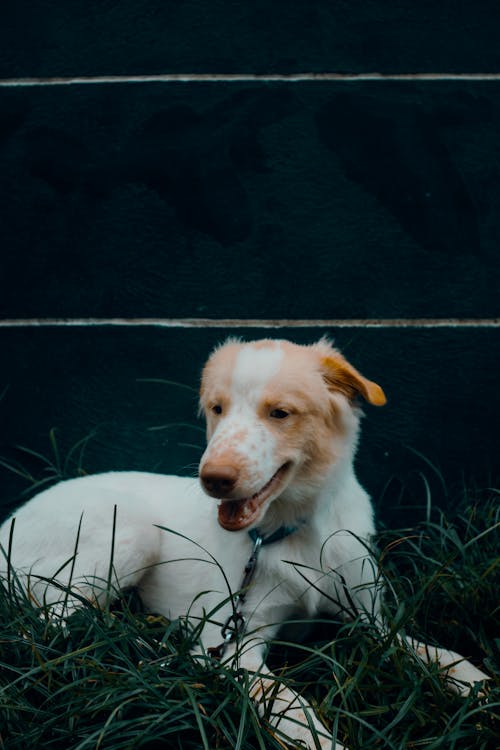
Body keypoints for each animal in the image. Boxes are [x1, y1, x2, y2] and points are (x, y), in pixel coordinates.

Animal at [0, 340, 486, 750]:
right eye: (217, 409)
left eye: (280, 413)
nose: (213, 479)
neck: (296, 533)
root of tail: (7, 522)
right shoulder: (235, 646)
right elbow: (290, 702)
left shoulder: (370, 617)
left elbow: (437, 652)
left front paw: (478, 688)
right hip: (131, 533)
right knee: (51, 619)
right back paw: (145, 644)